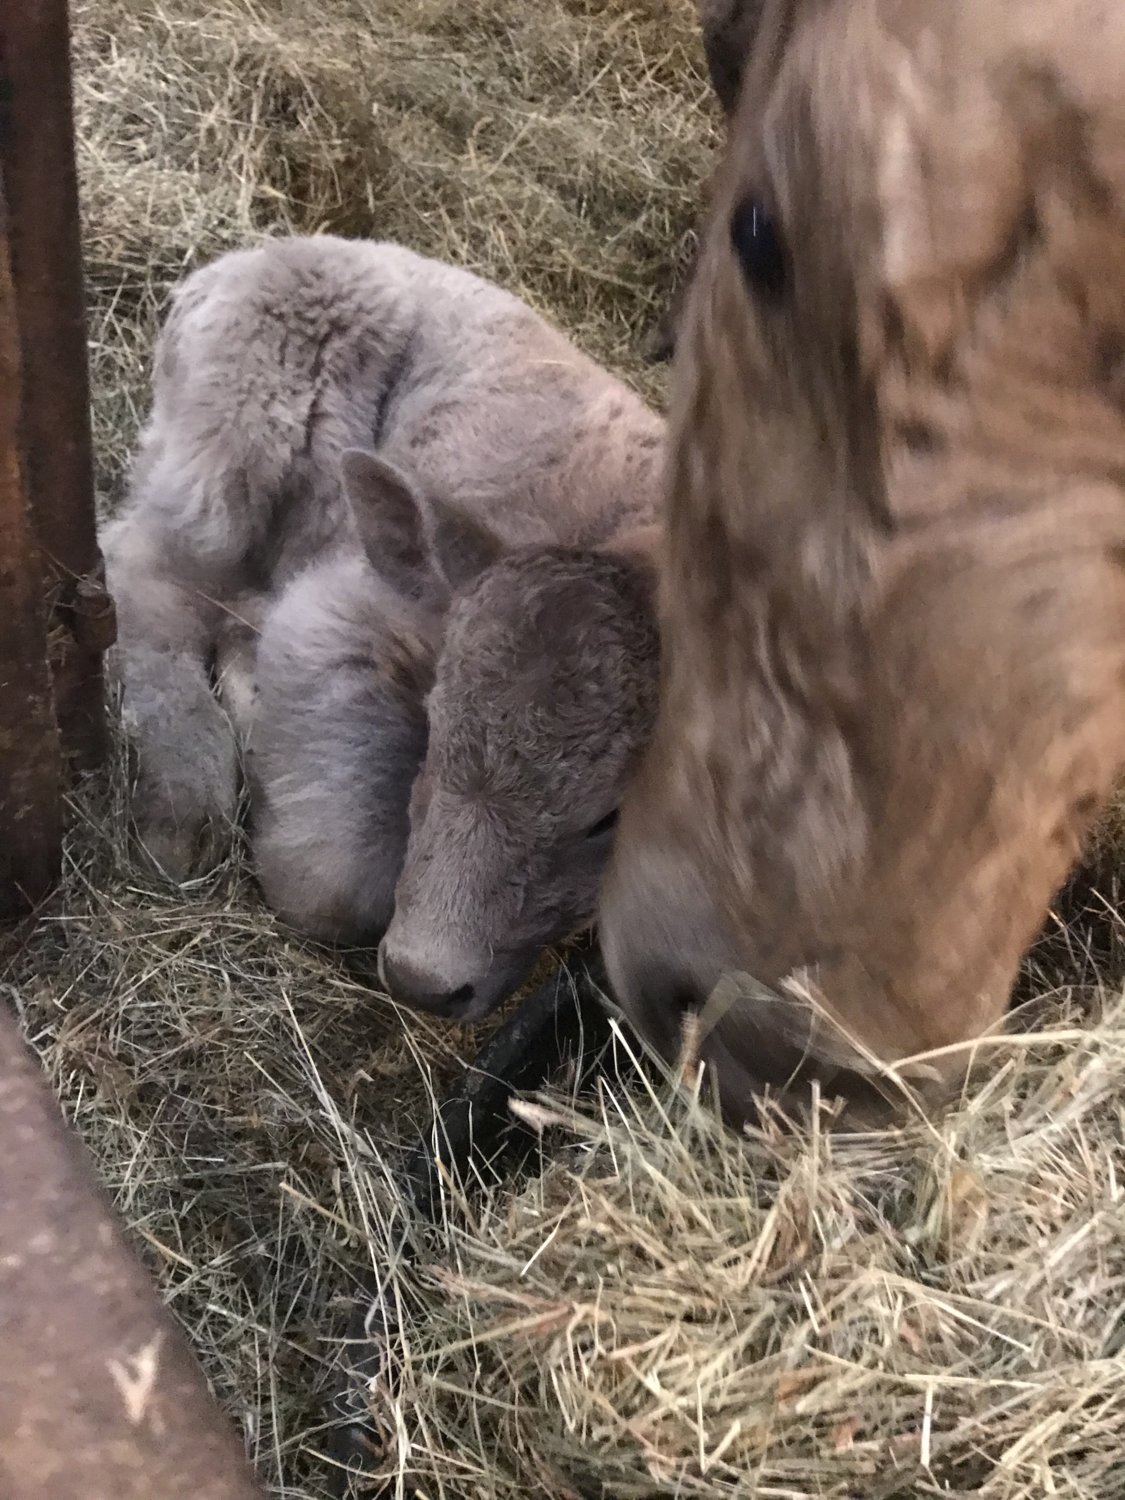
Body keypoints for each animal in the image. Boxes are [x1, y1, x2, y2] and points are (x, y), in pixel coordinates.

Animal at [103, 234, 663, 986]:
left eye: (609, 819)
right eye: (435, 732)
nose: (426, 979)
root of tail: (237, 260)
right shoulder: (341, 608)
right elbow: (335, 886)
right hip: (236, 444)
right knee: (142, 569)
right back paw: (181, 804)